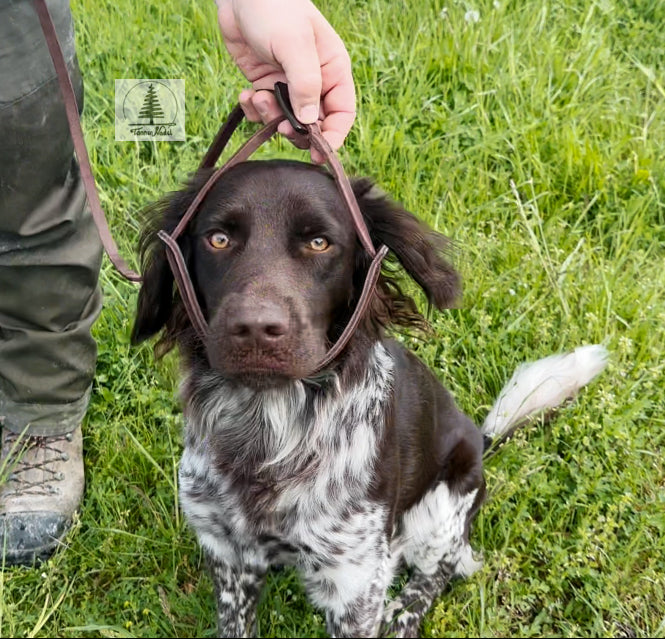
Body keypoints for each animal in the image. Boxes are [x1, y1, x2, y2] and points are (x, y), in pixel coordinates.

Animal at [131, 158, 608, 636]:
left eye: (319, 243)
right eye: (219, 239)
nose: (255, 329)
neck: (269, 430)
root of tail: (480, 440)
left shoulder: (355, 580)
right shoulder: (227, 553)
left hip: (438, 511)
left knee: (441, 569)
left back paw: (404, 615)